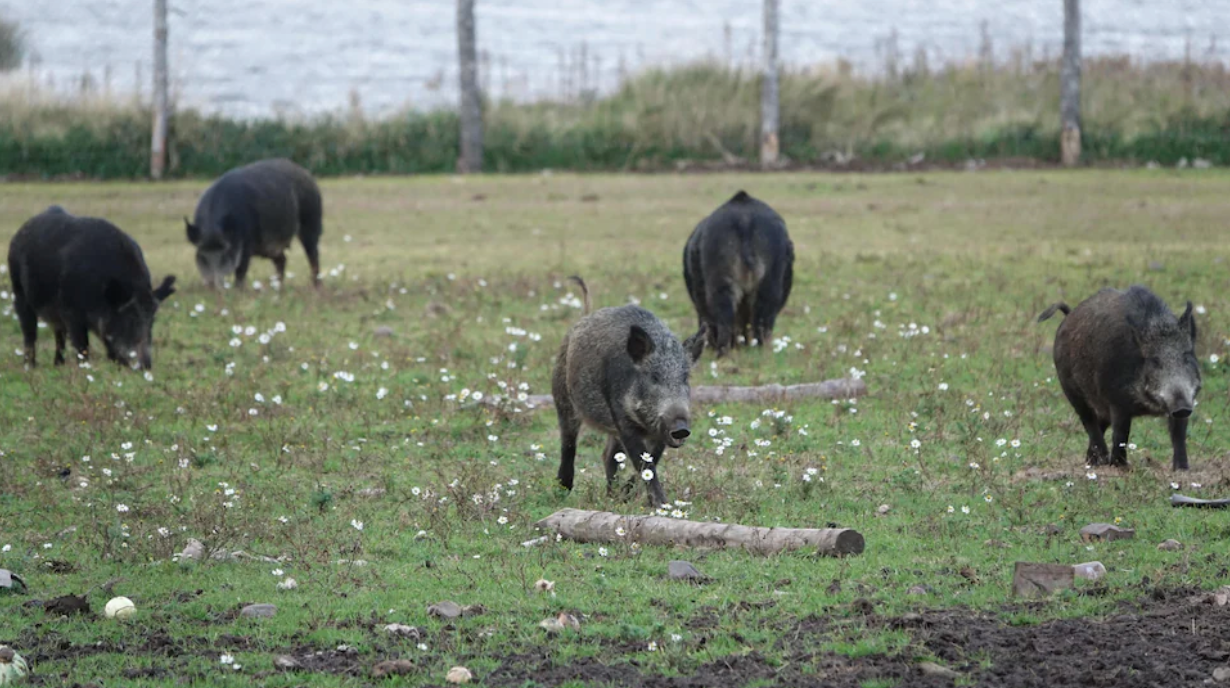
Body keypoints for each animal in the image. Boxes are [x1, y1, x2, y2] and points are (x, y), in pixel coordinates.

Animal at [9, 206, 177, 371]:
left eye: (152, 319)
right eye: (130, 317)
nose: (146, 366)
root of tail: (20, 233)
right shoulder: (70, 312)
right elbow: (82, 346)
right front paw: (85, 369)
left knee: (58, 334)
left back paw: (58, 365)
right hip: (19, 292)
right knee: (30, 333)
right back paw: (30, 367)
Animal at [183, 158, 322, 290]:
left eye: (225, 253)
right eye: (202, 255)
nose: (213, 285)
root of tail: (307, 174)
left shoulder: (247, 243)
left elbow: (241, 270)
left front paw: (238, 291)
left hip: (312, 220)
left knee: (313, 255)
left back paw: (316, 287)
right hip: (270, 248)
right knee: (282, 260)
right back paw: (278, 288)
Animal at [553, 276, 708, 509]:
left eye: (685, 378)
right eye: (653, 377)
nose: (680, 428)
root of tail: (583, 318)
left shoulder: (659, 434)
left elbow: (651, 461)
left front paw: (632, 497)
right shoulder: (622, 418)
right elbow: (643, 462)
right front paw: (662, 505)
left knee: (608, 455)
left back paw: (613, 496)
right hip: (562, 395)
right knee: (569, 443)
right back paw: (562, 490)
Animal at [683, 190, 797, 356]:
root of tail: (744, 220)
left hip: (721, 282)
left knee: (725, 320)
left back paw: (723, 354)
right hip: (769, 282)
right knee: (762, 320)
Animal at [1038, 283, 1200, 470]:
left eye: (1186, 356)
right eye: (1154, 360)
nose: (1182, 407)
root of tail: (1068, 316)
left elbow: (1179, 434)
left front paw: (1182, 469)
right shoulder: (1117, 400)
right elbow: (1121, 434)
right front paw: (1119, 466)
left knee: (1099, 424)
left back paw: (1091, 462)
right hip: (1071, 388)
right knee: (1089, 421)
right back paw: (1102, 459)